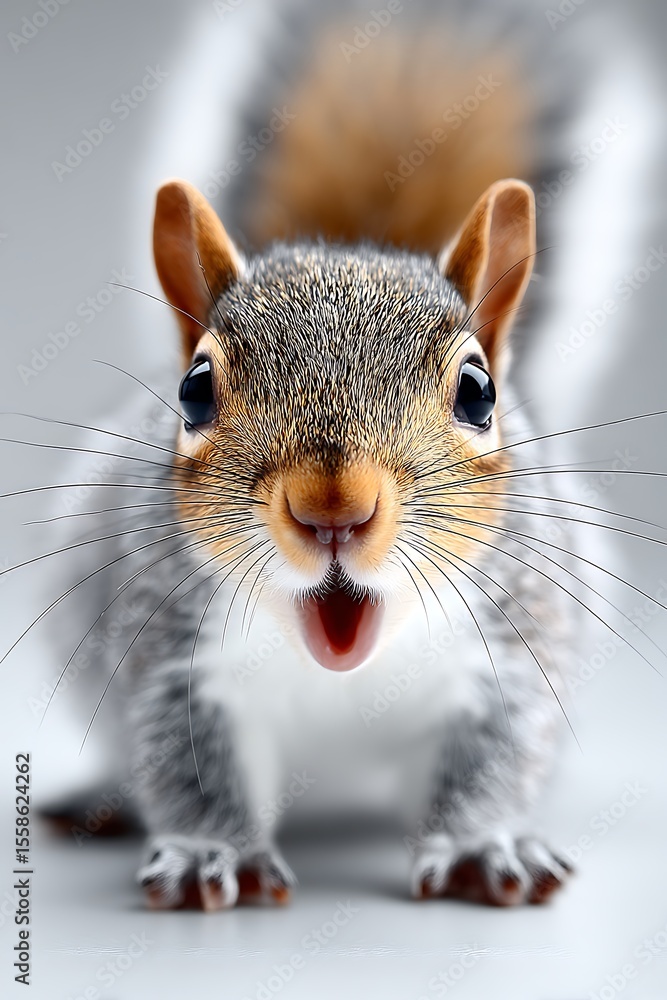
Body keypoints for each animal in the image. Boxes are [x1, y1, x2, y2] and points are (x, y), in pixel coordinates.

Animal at [39, 3, 589, 909]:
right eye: (194, 391)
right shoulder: (178, 661)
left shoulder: (507, 659)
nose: (334, 506)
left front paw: (478, 848)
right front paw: (211, 854)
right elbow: (189, 768)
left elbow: (489, 763)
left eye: (477, 392)